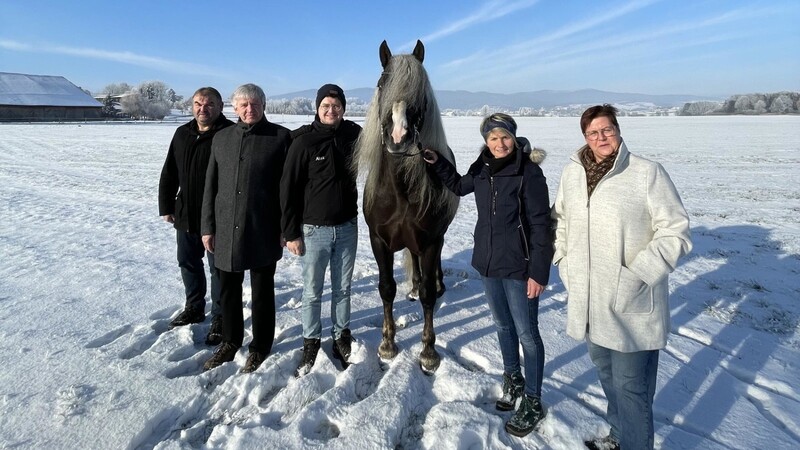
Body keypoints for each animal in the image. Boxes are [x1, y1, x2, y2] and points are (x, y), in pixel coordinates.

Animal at [354, 41, 460, 372]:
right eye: (381, 83)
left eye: (421, 91)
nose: (398, 138)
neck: (399, 192)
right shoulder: (378, 241)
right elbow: (386, 288)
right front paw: (388, 344)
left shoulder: (430, 241)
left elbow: (428, 295)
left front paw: (428, 351)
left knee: (431, 274)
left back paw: (437, 284)